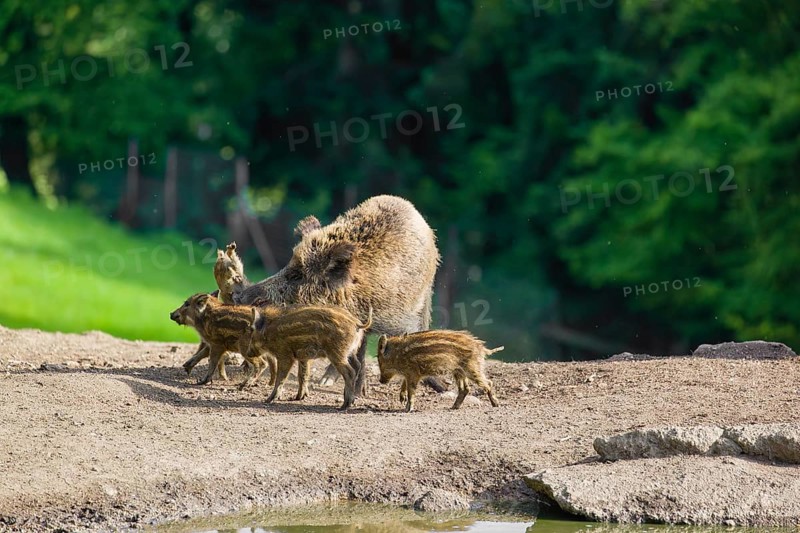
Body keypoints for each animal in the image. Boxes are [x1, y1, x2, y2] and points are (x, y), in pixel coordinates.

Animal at [238, 305, 373, 410]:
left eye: (252, 330)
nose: (248, 353)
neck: (269, 332)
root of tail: (357, 324)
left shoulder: (285, 355)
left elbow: (281, 377)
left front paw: (268, 400)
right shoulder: (303, 357)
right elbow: (302, 375)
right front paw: (297, 398)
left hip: (337, 353)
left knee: (350, 371)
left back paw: (344, 405)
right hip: (350, 352)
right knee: (357, 366)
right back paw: (350, 401)